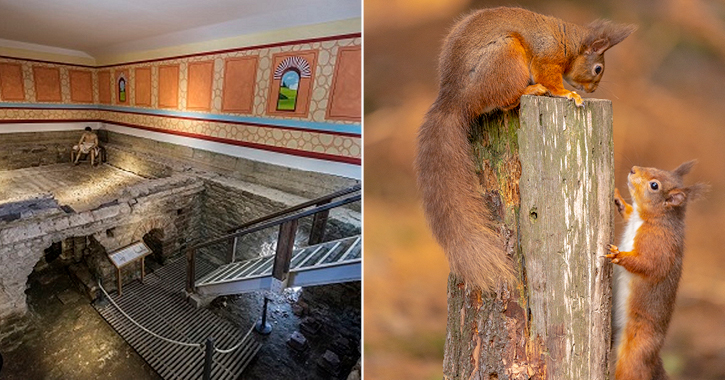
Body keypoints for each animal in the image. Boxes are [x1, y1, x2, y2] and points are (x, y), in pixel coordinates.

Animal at [412, 7, 632, 290]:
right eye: (597, 69)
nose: (592, 89)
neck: (568, 41)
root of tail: (455, 99)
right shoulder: (547, 58)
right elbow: (550, 79)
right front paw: (568, 94)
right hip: (506, 58)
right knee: (506, 100)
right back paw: (533, 90)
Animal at [604, 161, 708, 380]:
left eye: (654, 185)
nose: (633, 169)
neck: (647, 218)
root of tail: (653, 357)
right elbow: (628, 212)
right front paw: (619, 199)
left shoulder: (659, 247)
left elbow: (648, 265)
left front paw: (619, 256)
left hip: (634, 355)